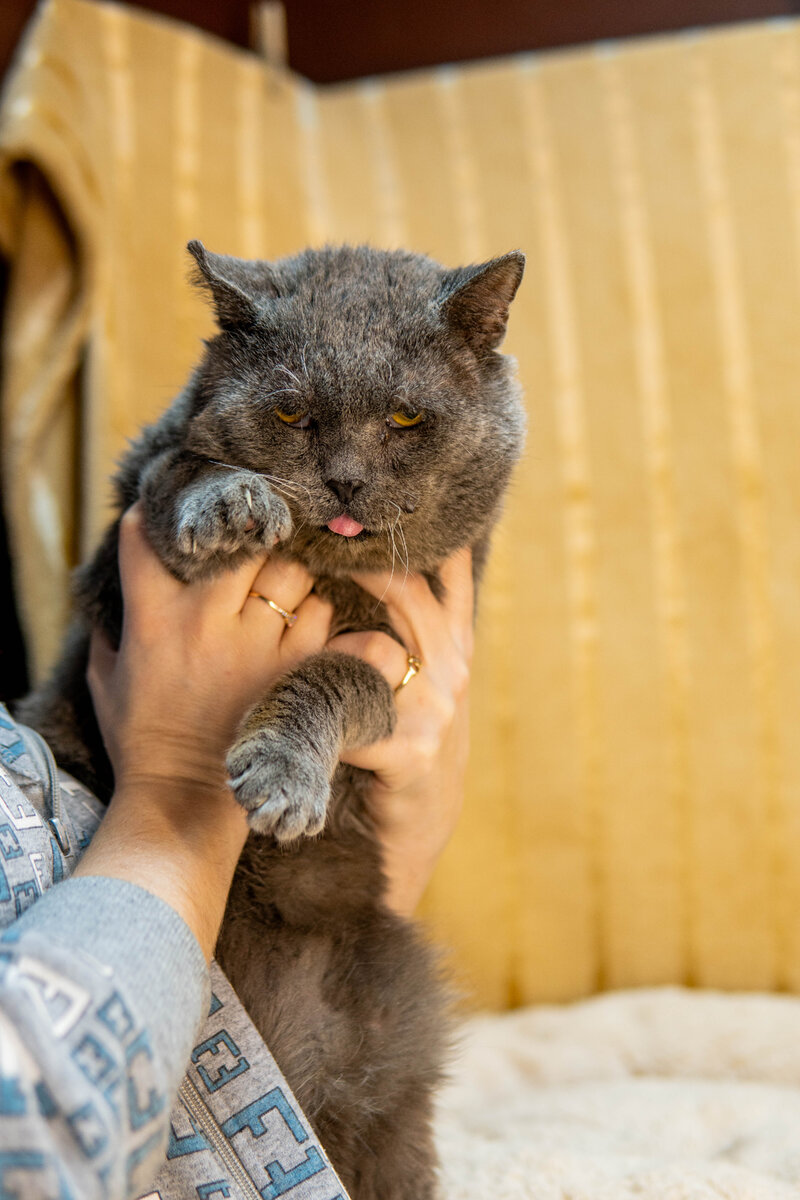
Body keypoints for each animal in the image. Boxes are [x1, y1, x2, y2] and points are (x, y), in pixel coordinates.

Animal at [20, 238, 525, 1195]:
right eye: (291, 411)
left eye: (406, 417)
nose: (345, 481)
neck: (325, 573)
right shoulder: (116, 572)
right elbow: (173, 470)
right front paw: (231, 500)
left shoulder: (401, 664)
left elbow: (330, 675)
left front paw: (282, 776)